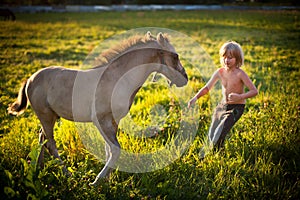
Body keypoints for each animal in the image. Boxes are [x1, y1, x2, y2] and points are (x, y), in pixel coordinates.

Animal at [7, 31, 188, 186]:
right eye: (175, 56)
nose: (185, 79)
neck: (118, 79)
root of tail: (30, 79)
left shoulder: (114, 120)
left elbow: (109, 150)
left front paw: (107, 179)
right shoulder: (100, 119)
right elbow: (115, 149)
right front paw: (97, 181)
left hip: (50, 116)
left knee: (42, 138)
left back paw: (38, 169)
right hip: (46, 116)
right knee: (50, 143)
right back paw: (66, 173)